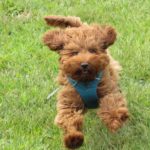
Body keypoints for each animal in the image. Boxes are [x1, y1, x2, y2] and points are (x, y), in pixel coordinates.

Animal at [42, 15, 129, 149]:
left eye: (92, 50)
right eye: (74, 53)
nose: (84, 64)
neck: (86, 81)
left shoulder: (106, 89)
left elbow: (111, 103)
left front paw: (116, 119)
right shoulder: (69, 101)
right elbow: (68, 118)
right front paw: (73, 139)